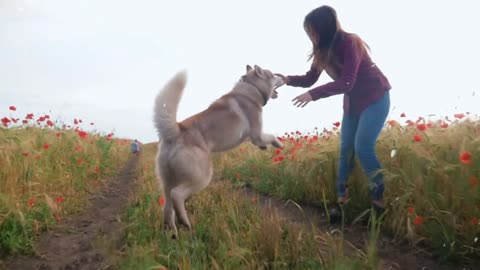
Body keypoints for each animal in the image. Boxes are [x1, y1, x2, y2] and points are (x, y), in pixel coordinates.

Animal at [153, 64, 284, 237]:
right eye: (274, 75)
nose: (284, 77)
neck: (251, 89)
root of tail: (175, 131)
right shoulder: (256, 134)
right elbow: (270, 136)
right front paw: (278, 144)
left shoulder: (251, 137)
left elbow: (262, 140)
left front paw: (265, 147)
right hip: (201, 177)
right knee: (177, 195)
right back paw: (185, 222)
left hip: (167, 182)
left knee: (167, 209)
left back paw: (173, 234)